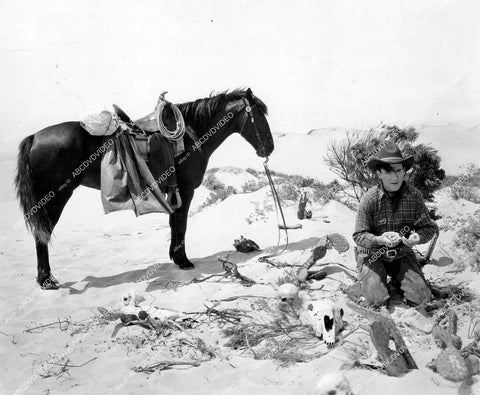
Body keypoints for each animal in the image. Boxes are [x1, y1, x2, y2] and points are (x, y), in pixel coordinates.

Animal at [14, 88, 274, 290]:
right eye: (259, 115)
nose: (269, 148)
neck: (192, 134)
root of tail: (35, 136)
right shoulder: (185, 190)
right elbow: (181, 224)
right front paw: (184, 261)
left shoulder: (174, 192)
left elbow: (174, 224)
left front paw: (176, 258)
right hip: (55, 197)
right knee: (42, 235)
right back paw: (46, 280)